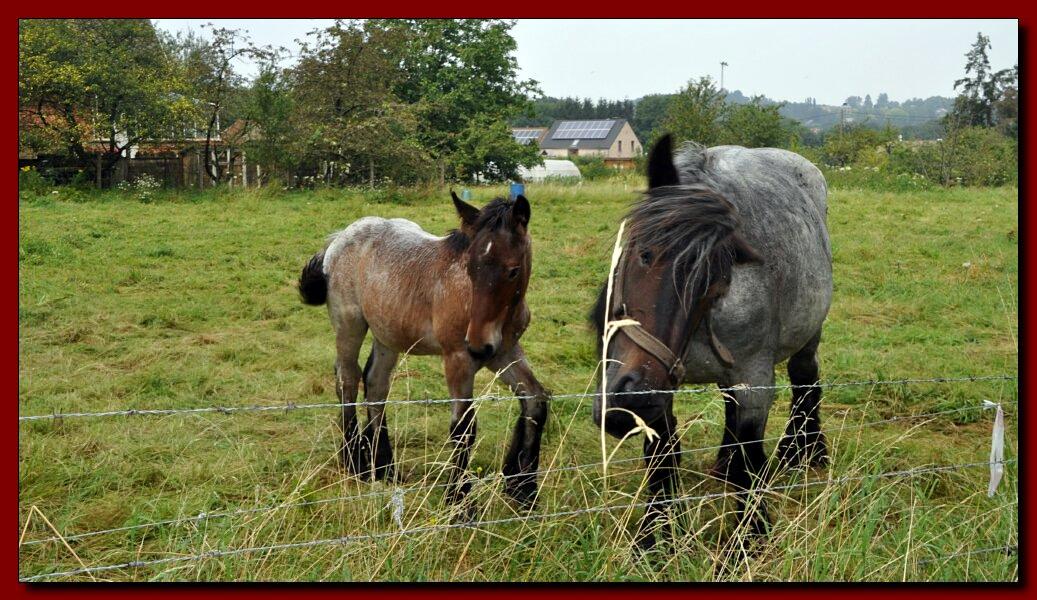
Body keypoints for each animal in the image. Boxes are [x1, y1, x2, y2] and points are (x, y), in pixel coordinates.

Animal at [593, 134, 833, 551]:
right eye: (643, 254)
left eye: (715, 281)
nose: (629, 403)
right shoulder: (663, 386)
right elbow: (662, 460)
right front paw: (654, 541)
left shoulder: (754, 380)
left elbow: (749, 464)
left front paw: (750, 540)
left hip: (807, 338)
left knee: (805, 379)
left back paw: (804, 452)